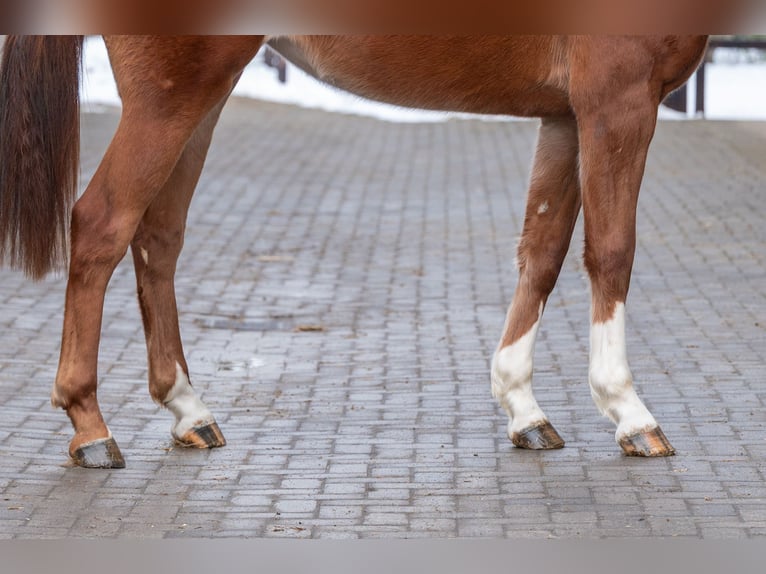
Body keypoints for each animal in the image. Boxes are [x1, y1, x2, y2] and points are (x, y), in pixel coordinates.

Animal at [0, 35, 708, 468]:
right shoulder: (616, 102)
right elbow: (610, 252)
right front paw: (628, 411)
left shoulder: (566, 114)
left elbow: (543, 252)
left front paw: (522, 406)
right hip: (170, 97)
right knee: (101, 226)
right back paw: (91, 426)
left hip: (198, 98)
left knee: (158, 237)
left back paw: (188, 408)